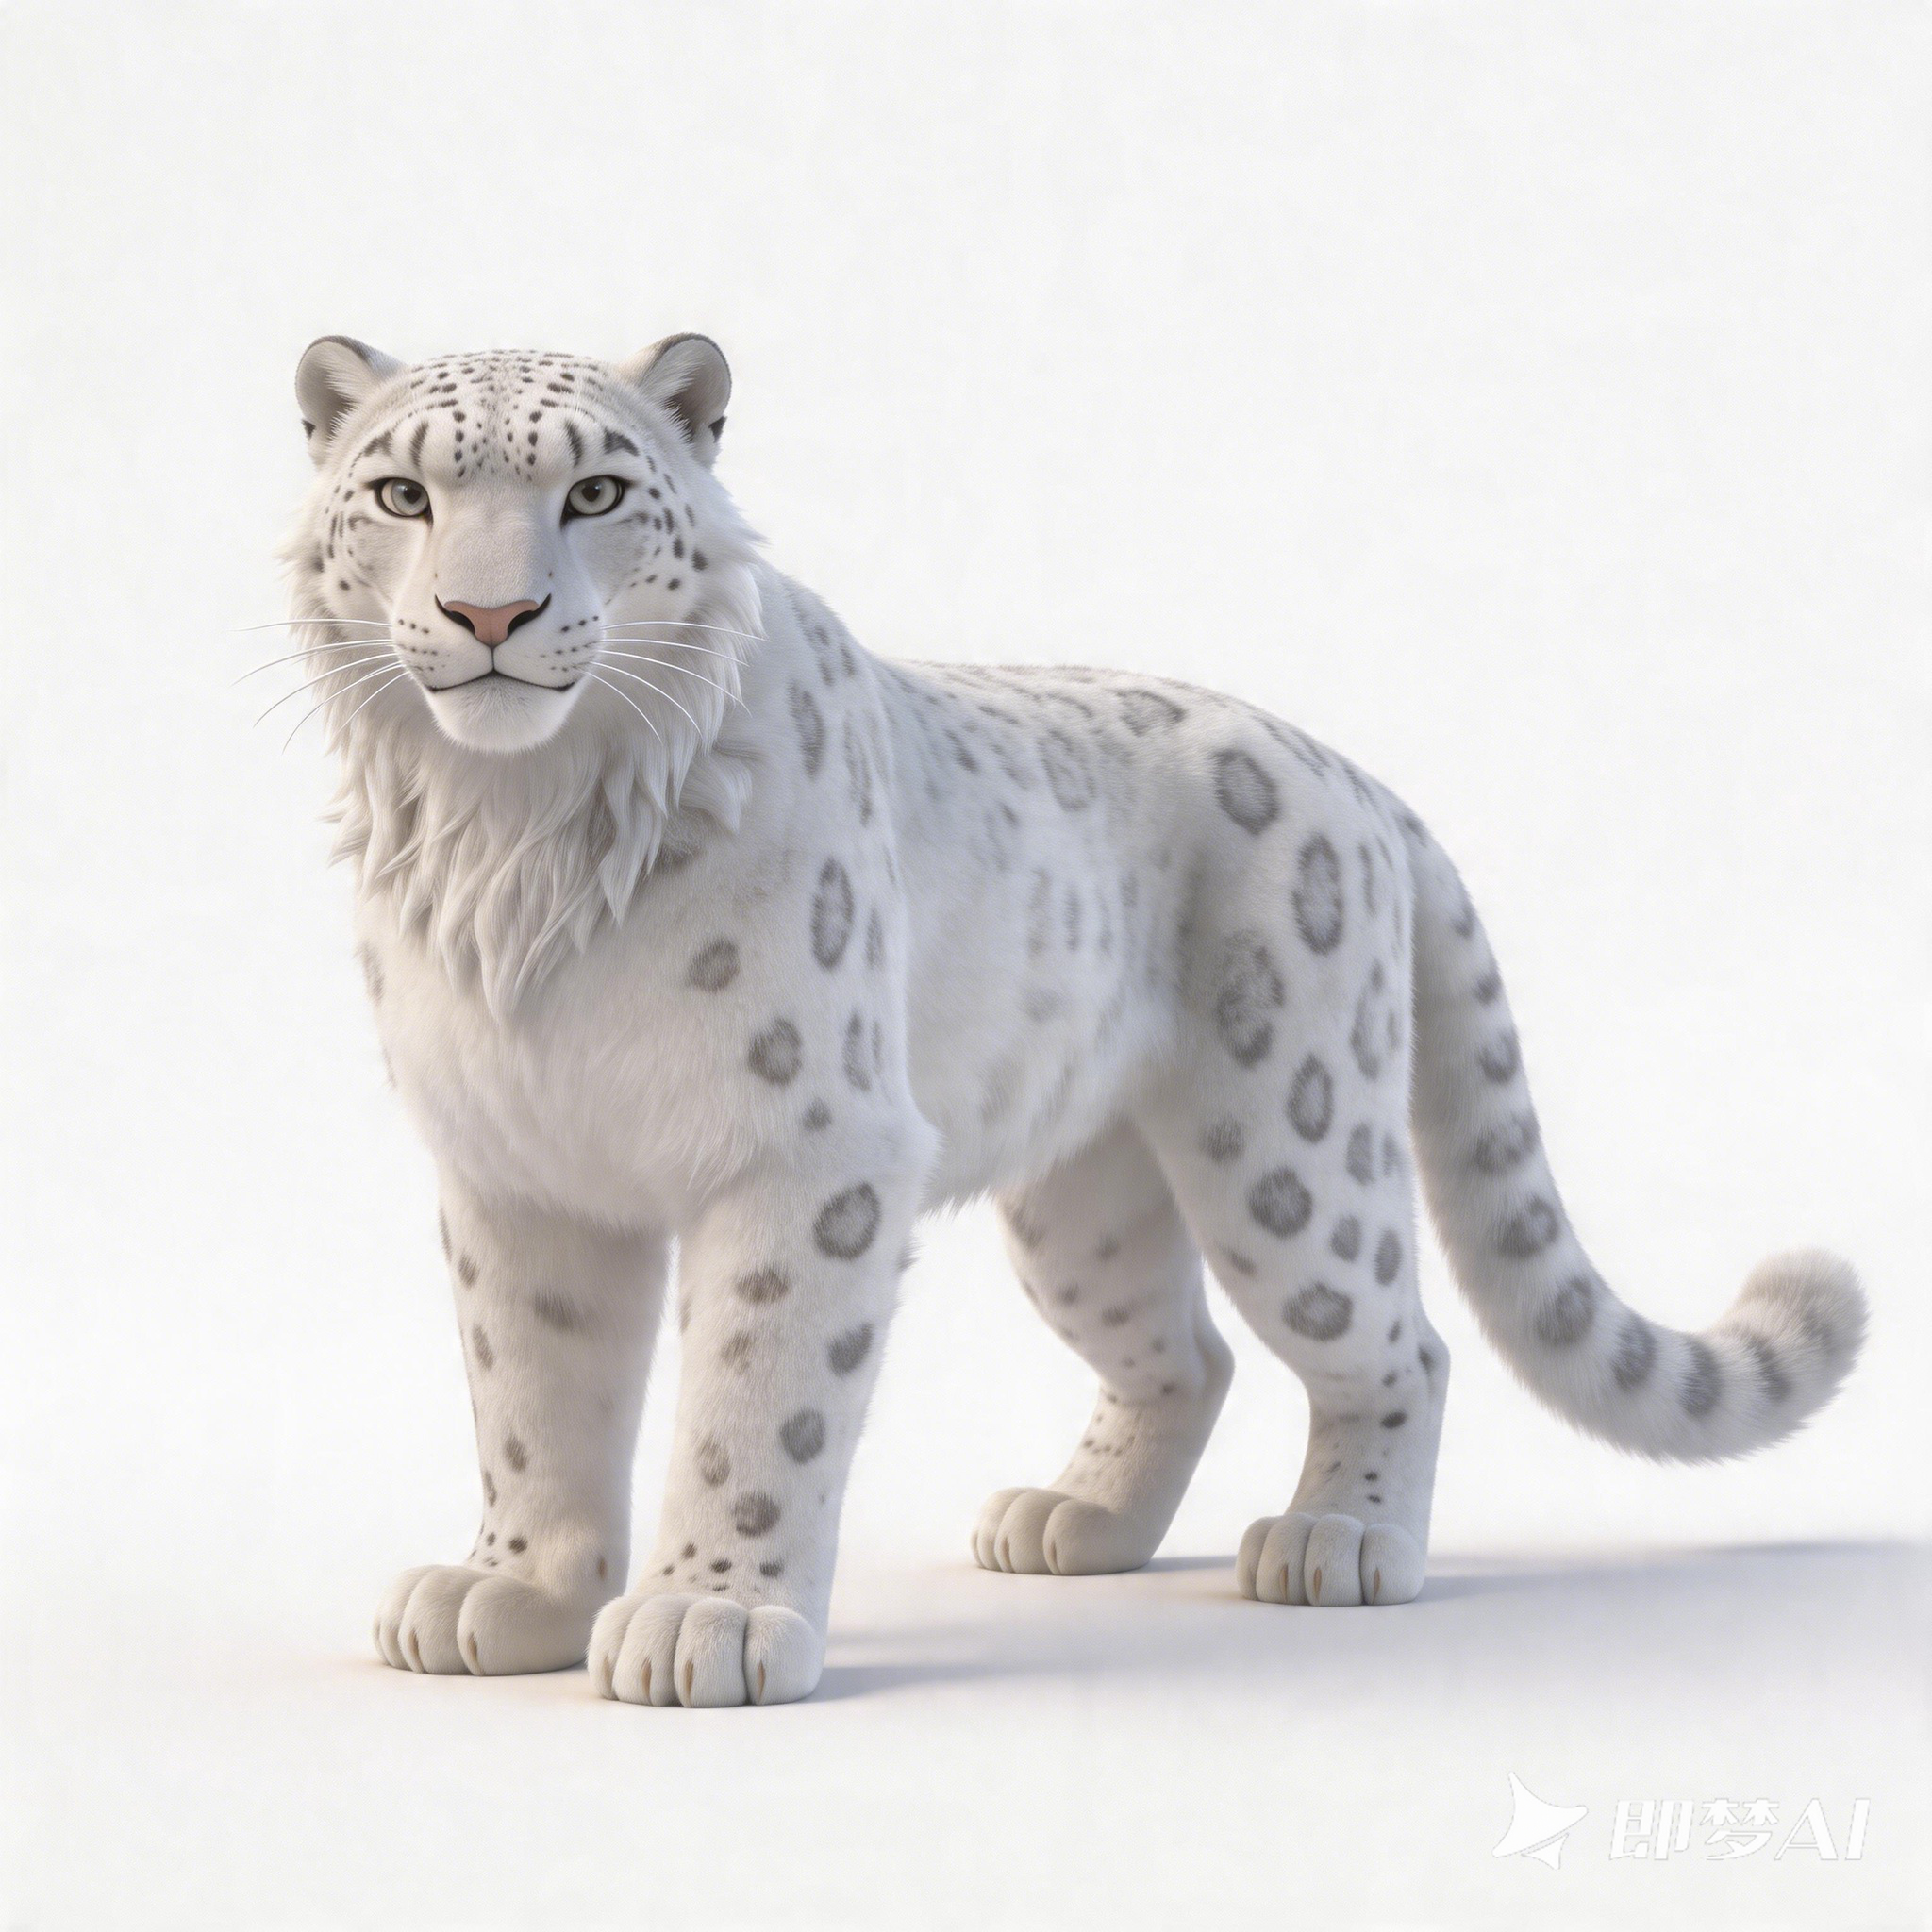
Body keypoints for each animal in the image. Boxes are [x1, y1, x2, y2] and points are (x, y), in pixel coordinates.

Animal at [272, 330, 1865, 1706]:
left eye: (592, 492)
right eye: (405, 494)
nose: (489, 614)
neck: (518, 831)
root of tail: (1350, 772)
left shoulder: (809, 1153)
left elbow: (754, 1397)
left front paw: (704, 1621)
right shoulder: (515, 1166)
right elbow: (530, 1394)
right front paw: (513, 1594)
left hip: (1293, 1158)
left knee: (1396, 1339)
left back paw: (1338, 1540)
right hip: (1084, 1212)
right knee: (1188, 1352)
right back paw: (1074, 1522)